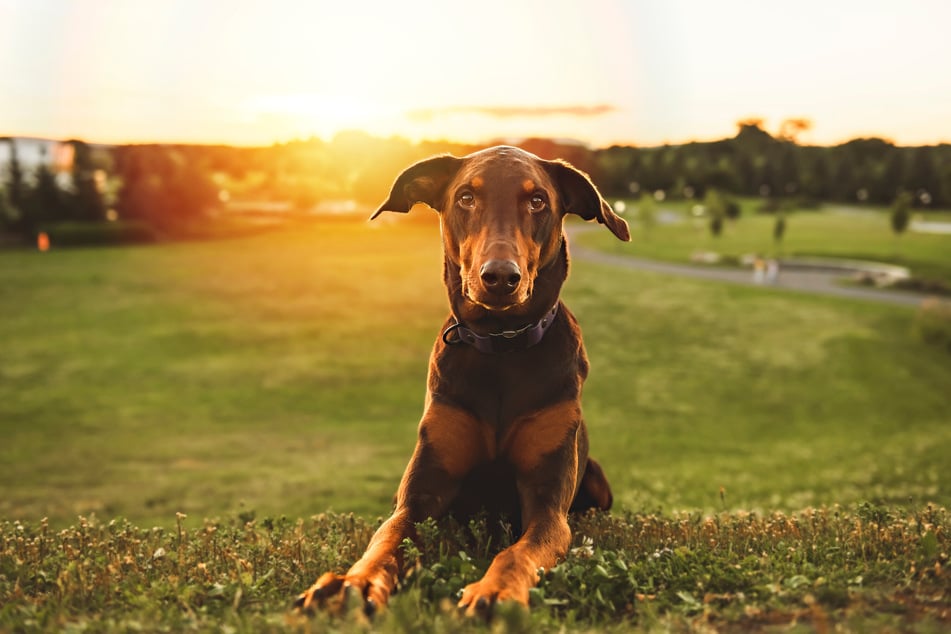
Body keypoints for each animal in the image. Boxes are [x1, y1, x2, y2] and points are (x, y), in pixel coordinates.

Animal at [294, 146, 628, 616]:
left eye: (538, 201)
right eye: (466, 197)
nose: (500, 277)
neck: (502, 347)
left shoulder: (547, 505)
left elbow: (521, 549)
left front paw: (496, 591)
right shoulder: (420, 494)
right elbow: (387, 538)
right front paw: (350, 583)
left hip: (594, 476)